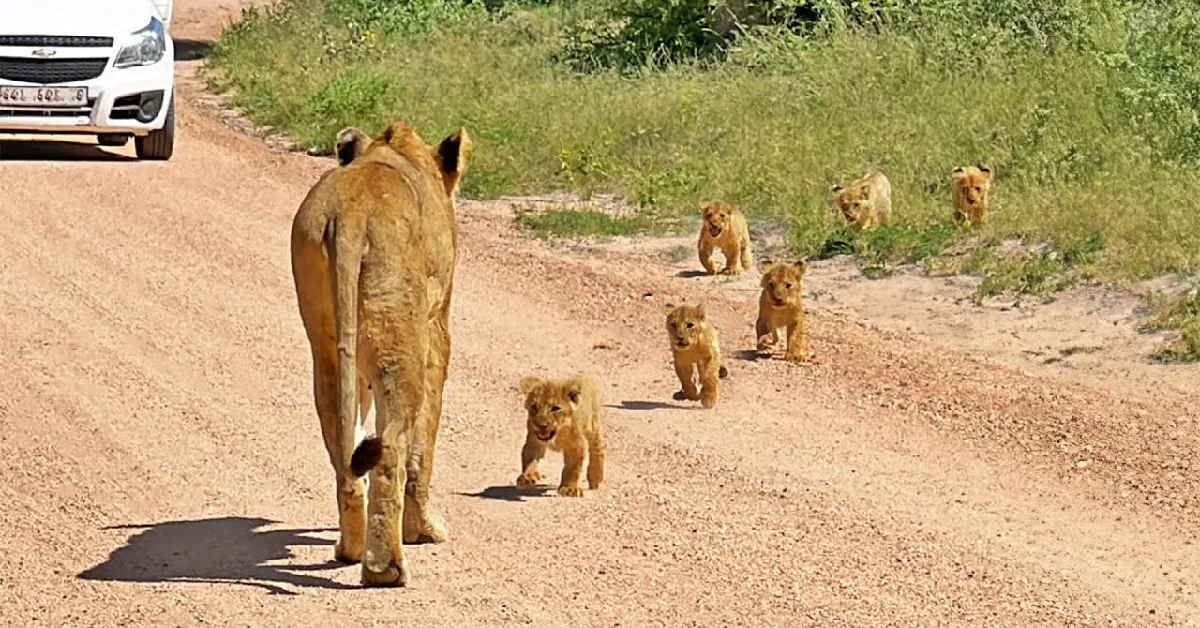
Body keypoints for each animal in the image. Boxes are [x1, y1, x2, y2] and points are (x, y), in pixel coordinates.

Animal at [289, 120, 471, 587]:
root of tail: (352, 213)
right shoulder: (436, 331)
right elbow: (423, 447)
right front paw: (425, 531)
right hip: (400, 344)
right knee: (391, 446)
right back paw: (385, 567)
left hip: (326, 343)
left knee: (344, 446)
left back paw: (349, 549)